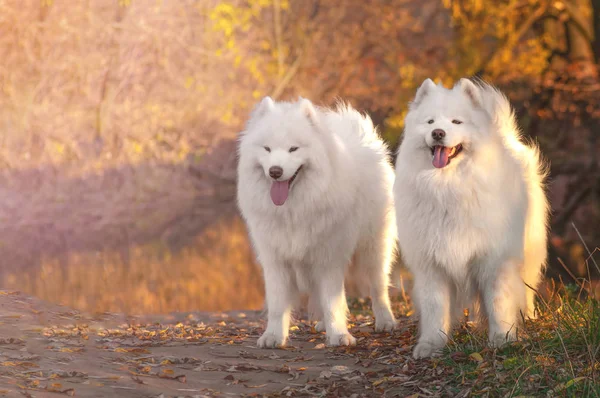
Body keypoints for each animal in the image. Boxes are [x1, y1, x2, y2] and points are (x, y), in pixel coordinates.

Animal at [236, 97, 398, 348]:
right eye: (267, 149)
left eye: (293, 149)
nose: (275, 171)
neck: (294, 209)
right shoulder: (276, 259)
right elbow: (277, 304)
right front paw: (273, 336)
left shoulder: (328, 257)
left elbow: (332, 300)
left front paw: (339, 335)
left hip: (374, 248)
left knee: (378, 286)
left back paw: (385, 321)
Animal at [394, 79, 548, 360]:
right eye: (430, 122)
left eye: (456, 122)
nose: (438, 133)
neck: (447, 187)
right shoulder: (431, 264)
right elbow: (435, 308)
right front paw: (431, 344)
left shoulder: (494, 259)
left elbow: (498, 301)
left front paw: (502, 338)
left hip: (529, 250)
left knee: (528, 286)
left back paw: (528, 317)